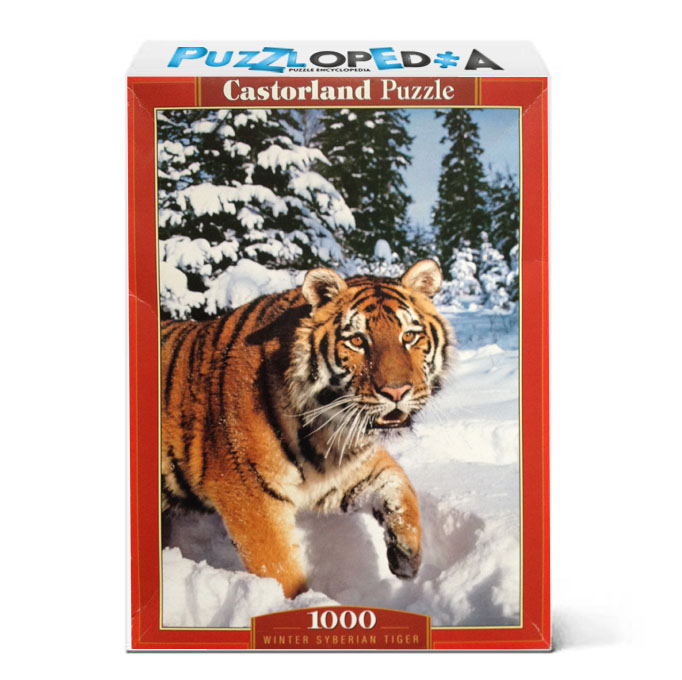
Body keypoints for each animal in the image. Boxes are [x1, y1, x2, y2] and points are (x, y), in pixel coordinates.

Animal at [160, 259, 453, 599]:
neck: (327, 426)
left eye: (409, 336)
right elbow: (280, 571)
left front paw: (407, 556)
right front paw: (300, 603)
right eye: (357, 341)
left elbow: (399, 483)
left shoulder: (344, 470)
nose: (396, 391)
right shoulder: (250, 496)